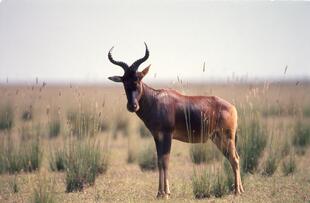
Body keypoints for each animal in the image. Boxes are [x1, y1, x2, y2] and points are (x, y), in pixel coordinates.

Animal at [108, 42, 243, 198]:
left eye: (138, 79)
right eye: (124, 81)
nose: (132, 106)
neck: (156, 100)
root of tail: (232, 107)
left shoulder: (167, 135)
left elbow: (165, 161)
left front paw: (166, 193)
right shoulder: (157, 136)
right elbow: (159, 161)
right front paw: (159, 193)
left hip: (227, 136)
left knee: (235, 159)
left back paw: (237, 191)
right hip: (217, 138)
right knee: (233, 158)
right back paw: (239, 189)